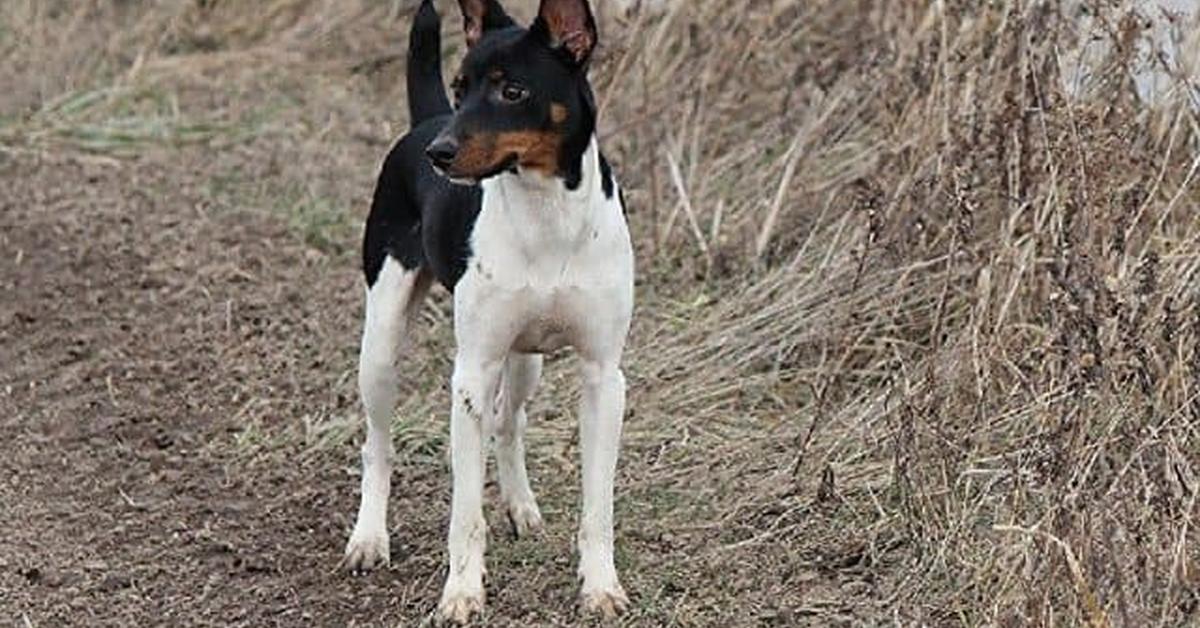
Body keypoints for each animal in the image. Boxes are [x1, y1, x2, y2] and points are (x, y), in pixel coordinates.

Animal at [340, 0, 633, 619]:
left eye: (512, 91)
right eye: (460, 85)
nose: (440, 154)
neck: (547, 215)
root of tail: (424, 122)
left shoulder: (603, 378)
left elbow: (597, 507)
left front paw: (599, 586)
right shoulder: (471, 375)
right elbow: (465, 515)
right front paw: (461, 593)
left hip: (527, 360)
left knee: (510, 421)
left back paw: (521, 506)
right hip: (381, 346)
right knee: (377, 444)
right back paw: (369, 537)